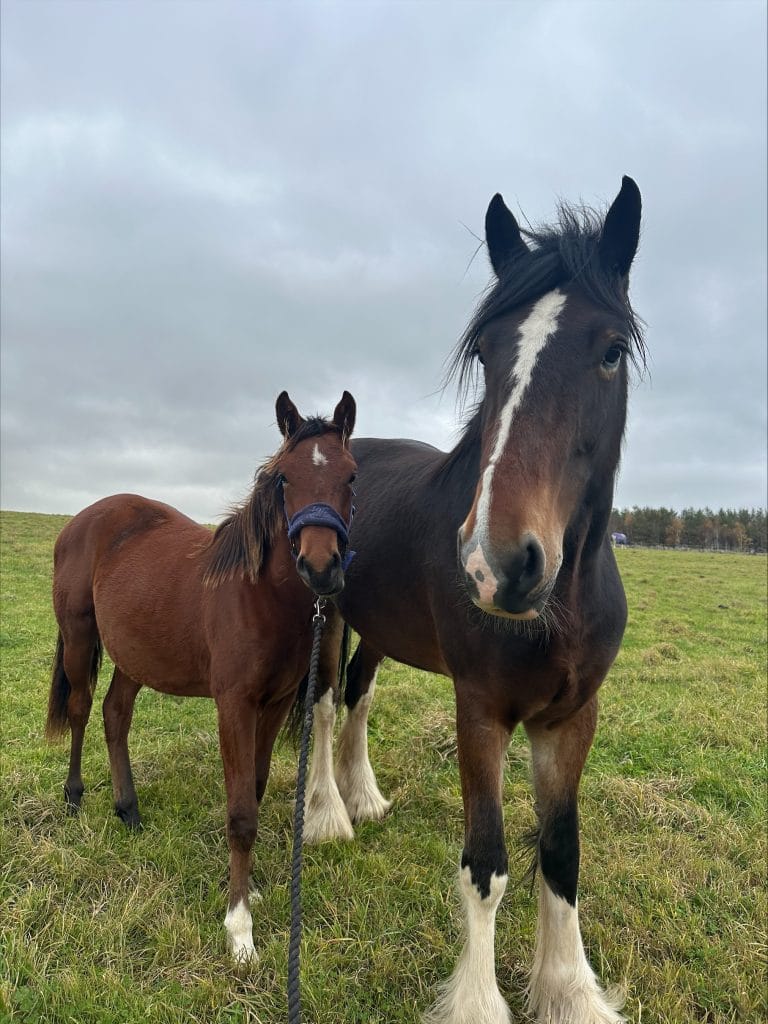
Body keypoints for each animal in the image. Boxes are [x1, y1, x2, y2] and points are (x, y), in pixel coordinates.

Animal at [45, 390, 357, 960]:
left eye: (351, 475)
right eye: (284, 478)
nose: (321, 566)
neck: (259, 594)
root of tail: (83, 519)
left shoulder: (275, 703)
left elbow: (254, 788)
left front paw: (250, 888)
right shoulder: (233, 704)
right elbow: (240, 813)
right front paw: (239, 928)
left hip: (136, 655)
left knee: (115, 714)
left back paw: (128, 809)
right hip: (79, 639)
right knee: (80, 709)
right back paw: (75, 796)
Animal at [302, 178, 644, 1023]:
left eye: (611, 350)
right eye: (487, 352)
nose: (500, 564)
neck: (560, 607)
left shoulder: (571, 719)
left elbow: (561, 853)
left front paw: (569, 990)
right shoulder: (481, 711)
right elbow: (486, 865)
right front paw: (480, 1001)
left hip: (379, 628)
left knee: (358, 694)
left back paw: (364, 796)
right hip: (328, 615)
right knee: (322, 704)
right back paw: (328, 814)